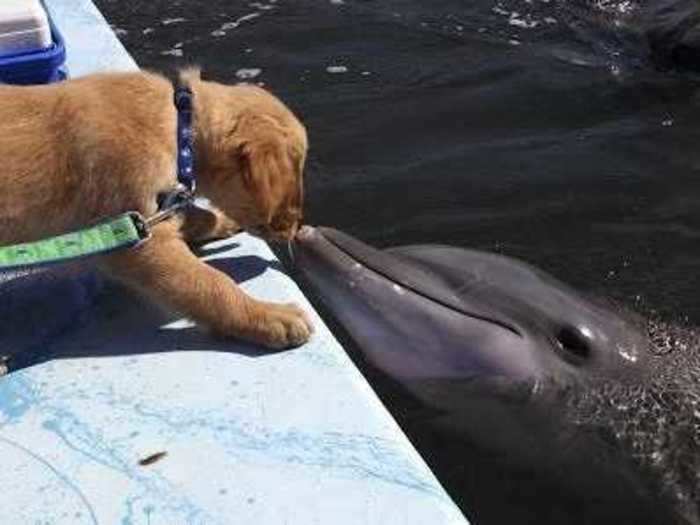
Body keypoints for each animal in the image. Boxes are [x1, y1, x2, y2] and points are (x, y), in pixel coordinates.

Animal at [0, 68, 312, 348]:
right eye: (294, 175)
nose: (297, 231)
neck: (180, 128)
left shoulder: (152, 214)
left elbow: (195, 215)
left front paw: (222, 220)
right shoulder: (139, 242)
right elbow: (210, 283)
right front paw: (269, 316)